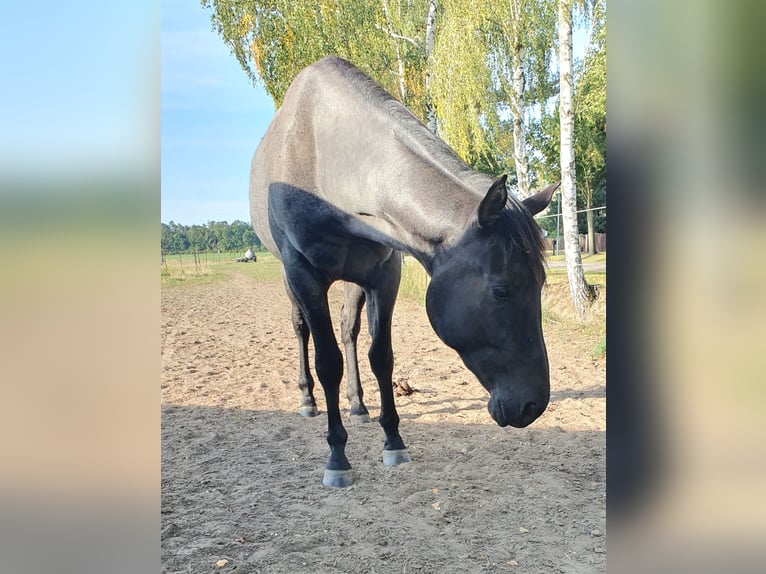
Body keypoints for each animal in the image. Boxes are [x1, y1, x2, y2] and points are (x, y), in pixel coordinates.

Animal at [249, 57, 557, 487]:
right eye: (502, 290)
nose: (533, 404)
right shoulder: (303, 273)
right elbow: (328, 362)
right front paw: (337, 458)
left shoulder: (384, 273)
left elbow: (381, 356)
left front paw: (393, 441)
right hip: (290, 278)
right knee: (302, 331)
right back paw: (308, 400)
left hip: (355, 279)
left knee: (348, 329)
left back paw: (358, 405)